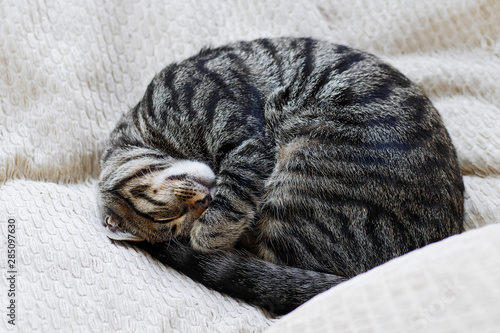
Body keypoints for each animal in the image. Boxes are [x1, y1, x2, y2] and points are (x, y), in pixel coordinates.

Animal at [98, 37, 464, 314]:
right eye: (175, 222)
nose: (202, 203)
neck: (152, 128)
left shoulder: (245, 141)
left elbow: (228, 206)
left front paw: (207, 235)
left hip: (303, 168)